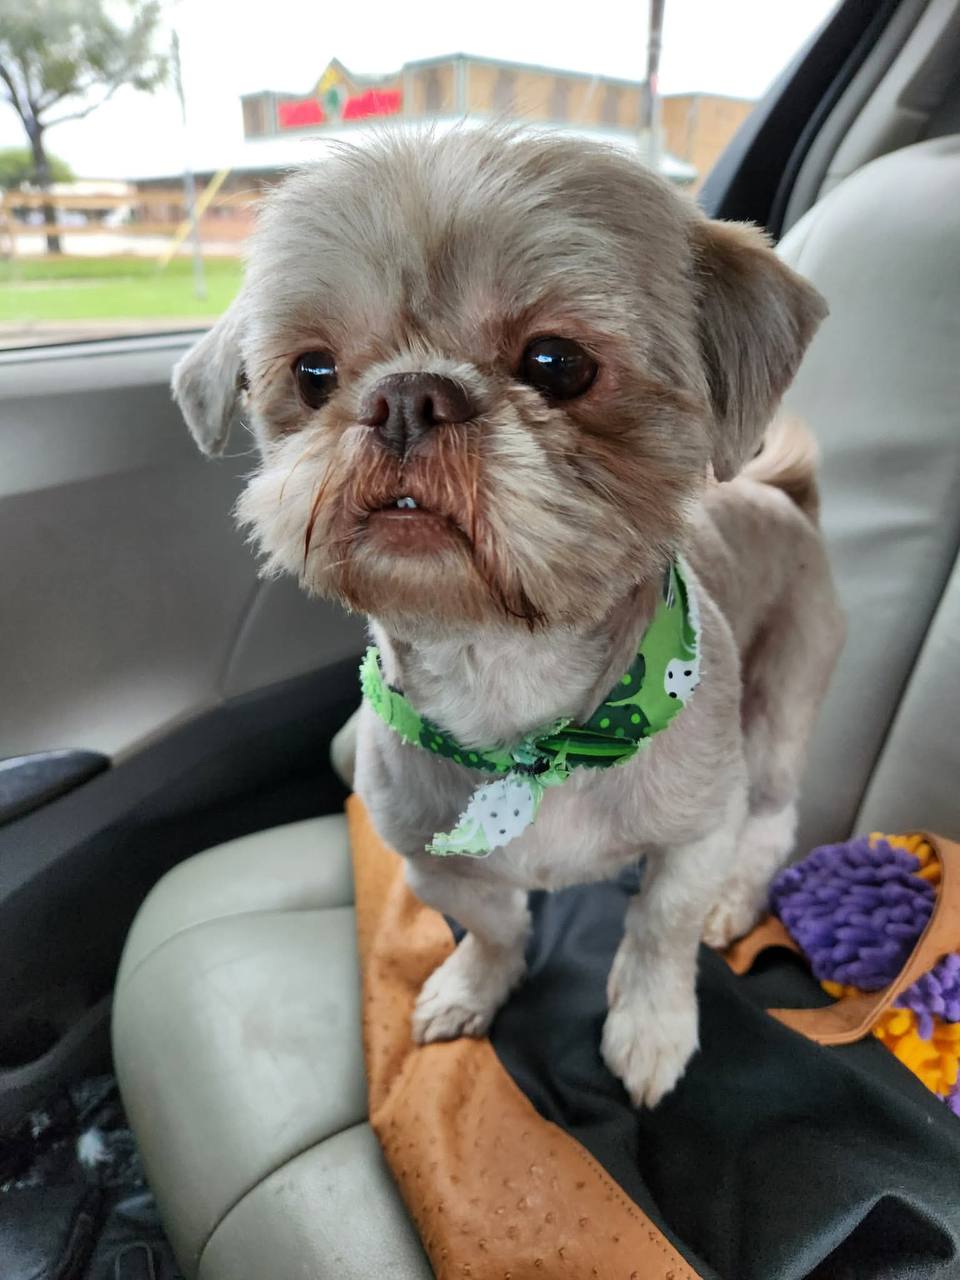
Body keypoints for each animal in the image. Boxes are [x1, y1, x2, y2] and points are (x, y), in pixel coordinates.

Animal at [172, 127, 844, 1107]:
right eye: (313, 371)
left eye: (556, 363)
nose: (406, 396)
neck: (509, 693)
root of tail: (785, 495)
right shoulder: (429, 857)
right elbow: (492, 925)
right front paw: (472, 987)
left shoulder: (696, 832)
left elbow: (660, 928)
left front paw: (649, 1026)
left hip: (782, 705)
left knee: (773, 817)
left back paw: (736, 899)